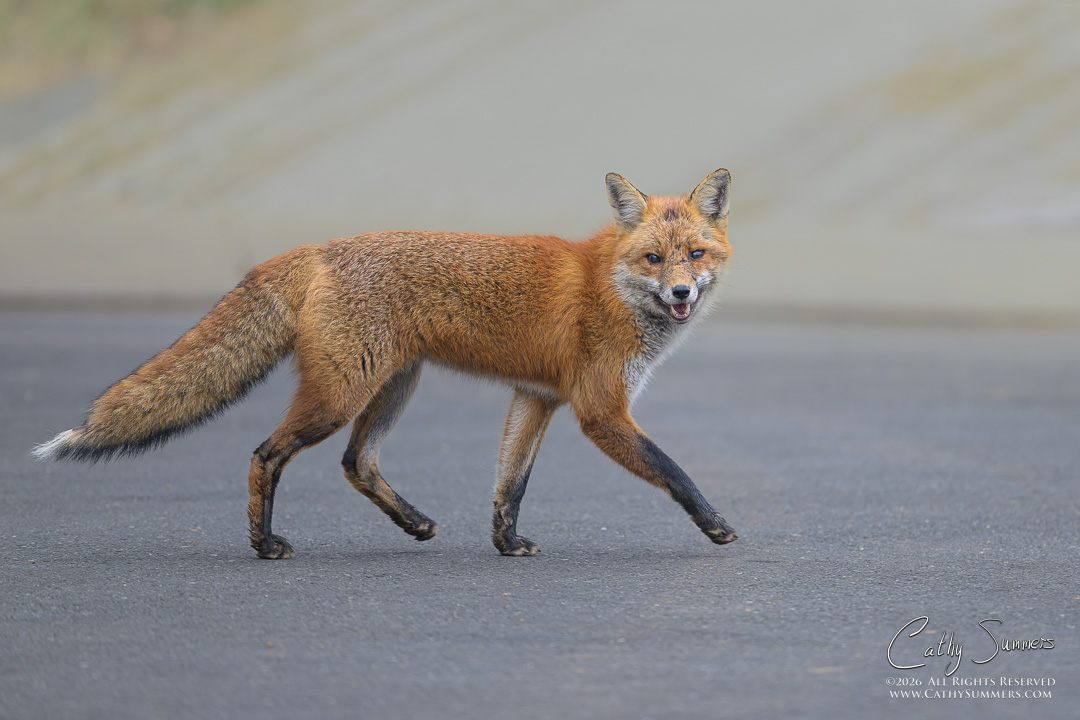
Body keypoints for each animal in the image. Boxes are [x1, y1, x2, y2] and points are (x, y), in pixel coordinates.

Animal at [33, 169, 739, 559]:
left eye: (696, 254)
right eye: (654, 259)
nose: (681, 293)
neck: (609, 283)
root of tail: (319, 247)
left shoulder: (535, 397)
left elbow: (509, 485)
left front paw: (507, 545)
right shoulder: (599, 410)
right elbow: (674, 471)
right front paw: (716, 526)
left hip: (393, 386)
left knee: (356, 462)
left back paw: (415, 523)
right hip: (340, 396)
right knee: (267, 454)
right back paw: (264, 546)